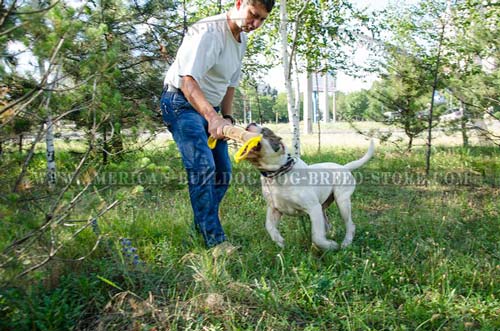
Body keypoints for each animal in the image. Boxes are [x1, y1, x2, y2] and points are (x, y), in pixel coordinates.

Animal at [239, 125, 376, 252]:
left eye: (264, 131)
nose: (251, 123)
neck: (279, 173)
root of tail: (344, 167)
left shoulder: (313, 208)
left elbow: (316, 237)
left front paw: (330, 246)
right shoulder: (274, 209)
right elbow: (269, 227)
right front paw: (280, 242)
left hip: (342, 202)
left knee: (350, 225)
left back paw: (345, 243)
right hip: (323, 206)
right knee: (327, 225)